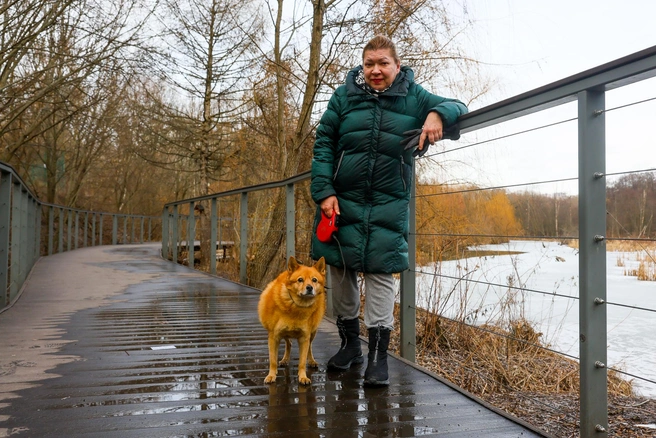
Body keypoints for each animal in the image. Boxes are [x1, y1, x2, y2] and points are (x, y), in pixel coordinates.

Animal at [258, 255, 326, 384]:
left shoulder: (304, 337)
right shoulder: (274, 336)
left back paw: (311, 360)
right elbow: (273, 360)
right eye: (300, 280)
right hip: (284, 333)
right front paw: (271, 375)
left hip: (312, 332)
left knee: (309, 347)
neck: (296, 306)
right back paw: (285, 359)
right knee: (288, 343)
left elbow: (302, 361)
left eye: (314, 280)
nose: (309, 288)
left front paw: (303, 376)